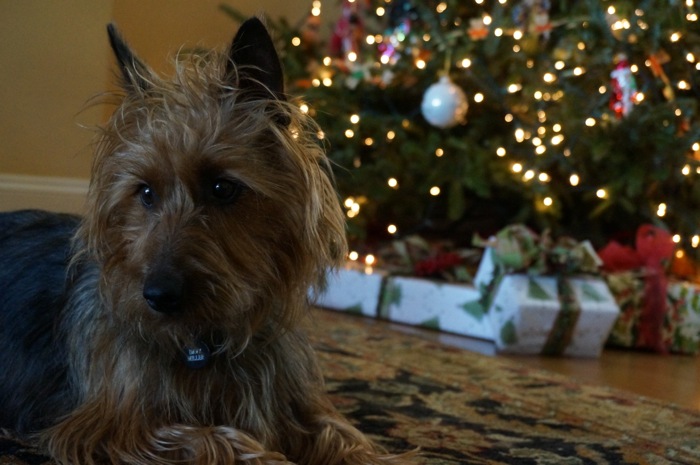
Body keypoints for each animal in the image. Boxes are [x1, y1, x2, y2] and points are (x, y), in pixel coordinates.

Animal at [0, 18, 412, 464]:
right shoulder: (109, 425)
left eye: (222, 188)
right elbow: (212, 438)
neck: (203, 340)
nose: (158, 296)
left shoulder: (298, 406)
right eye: (146, 193)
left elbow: (347, 438)